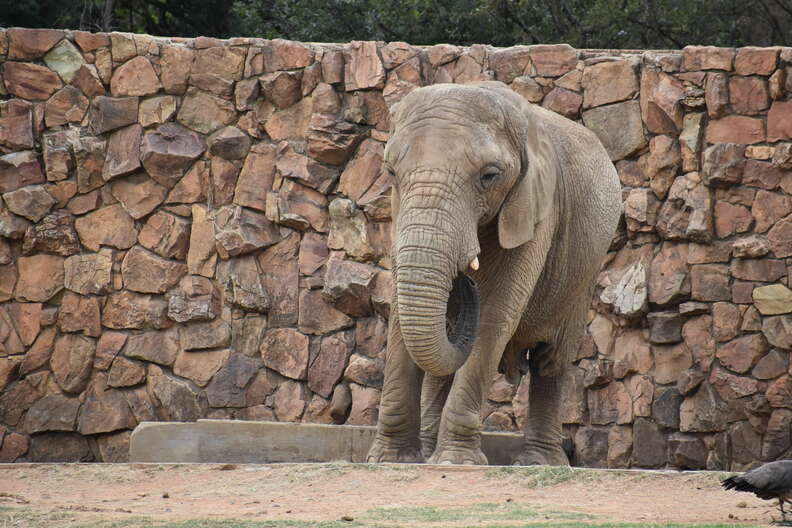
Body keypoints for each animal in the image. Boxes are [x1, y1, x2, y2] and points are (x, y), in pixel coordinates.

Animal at [366, 80, 624, 464]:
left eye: (489, 176)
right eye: (391, 173)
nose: (465, 283)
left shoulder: (537, 210)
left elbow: (495, 314)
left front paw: (455, 462)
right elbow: (401, 313)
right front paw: (392, 460)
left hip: (585, 273)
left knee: (553, 361)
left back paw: (538, 461)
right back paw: (428, 451)